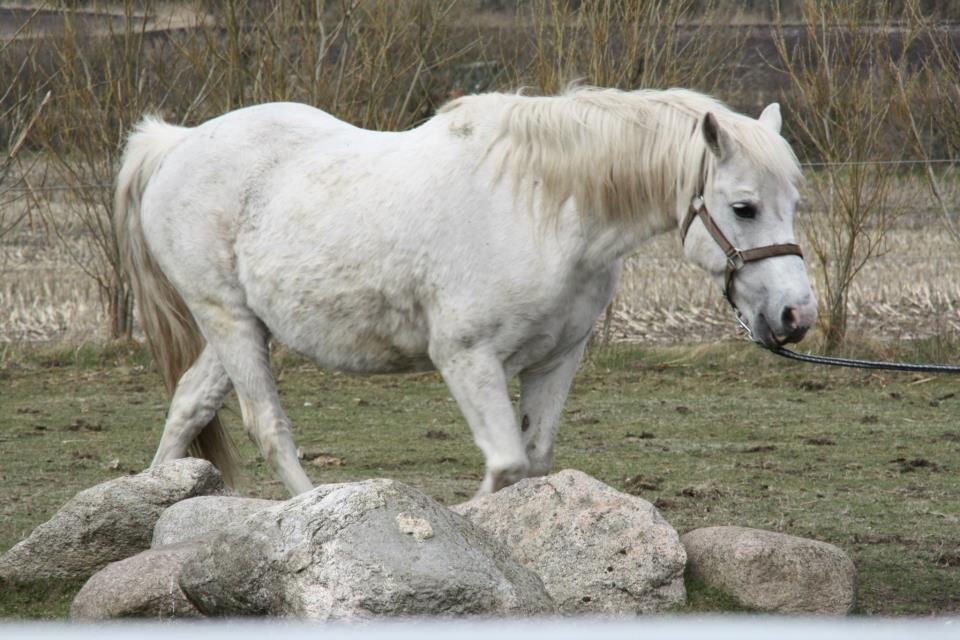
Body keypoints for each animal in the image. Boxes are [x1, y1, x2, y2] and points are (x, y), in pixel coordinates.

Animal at [114, 86, 816, 496]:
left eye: (794, 202)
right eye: (745, 207)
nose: (797, 313)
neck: (542, 208)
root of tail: (177, 143)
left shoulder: (556, 362)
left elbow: (532, 461)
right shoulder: (468, 358)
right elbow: (505, 466)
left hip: (246, 326)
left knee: (189, 403)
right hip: (227, 318)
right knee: (268, 426)